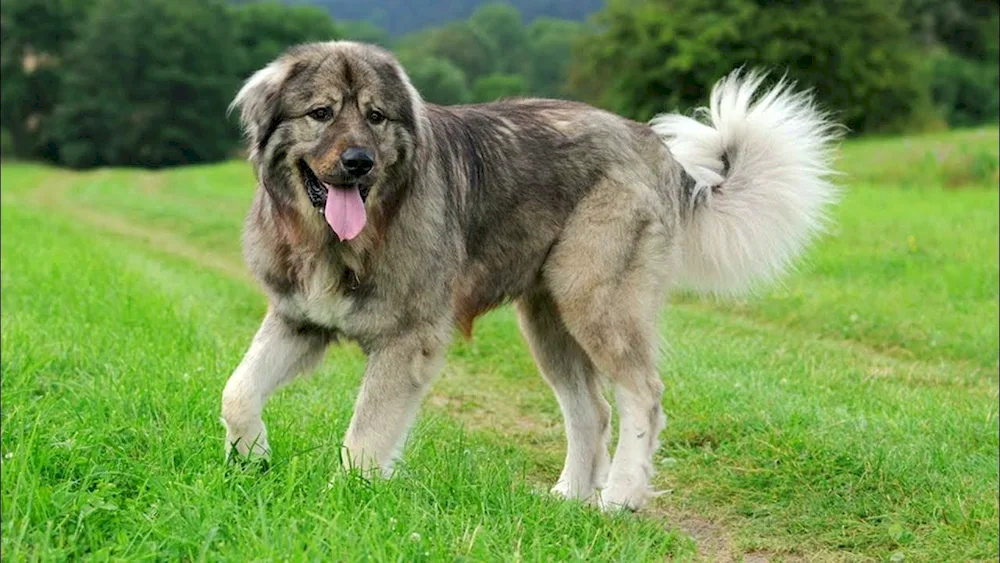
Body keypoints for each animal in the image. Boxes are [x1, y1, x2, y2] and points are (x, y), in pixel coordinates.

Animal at [223, 41, 840, 512]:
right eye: (321, 113)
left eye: (376, 116)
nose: (359, 162)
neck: (339, 241)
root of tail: (656, 149)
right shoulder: (298, 321)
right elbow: (238, 391)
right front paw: (251, 458)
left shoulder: (406, 342)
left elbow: (365, 434)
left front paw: (344, 497)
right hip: (548, 319)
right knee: (590, 410)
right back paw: (569, 497)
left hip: (595, 300)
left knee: (642, 393)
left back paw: (619, 498)